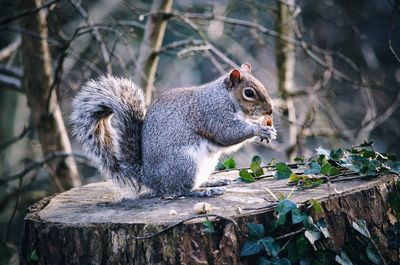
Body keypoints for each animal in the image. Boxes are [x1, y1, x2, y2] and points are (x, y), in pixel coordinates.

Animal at [70, 62, 276, 196]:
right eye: (249, 93)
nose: (270, 110)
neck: (225, 96)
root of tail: (149, 177)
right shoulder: (212, 113)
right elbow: (227, 134)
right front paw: (259, 130)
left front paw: (269, 130)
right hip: (184, 164)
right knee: (180, 190)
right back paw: (204, 191)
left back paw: (213, 181)